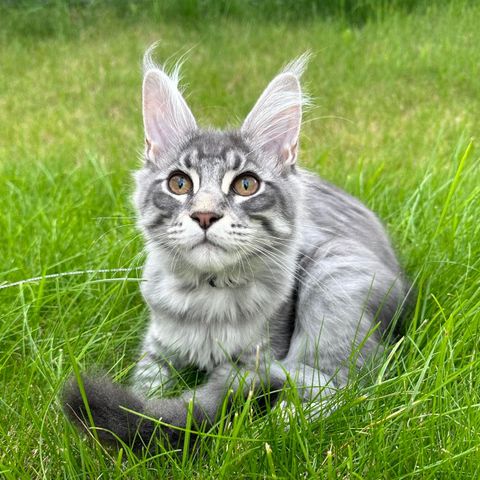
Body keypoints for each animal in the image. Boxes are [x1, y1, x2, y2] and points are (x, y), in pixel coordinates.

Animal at [63, 48, 408, 450]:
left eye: (246, 185)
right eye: (179, 183)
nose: (205, 215)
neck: (207, 303)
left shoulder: (262, 353)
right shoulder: (157, 350)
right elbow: (146, 389)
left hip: (334, 276)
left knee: (349, 390)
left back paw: (273, 426)